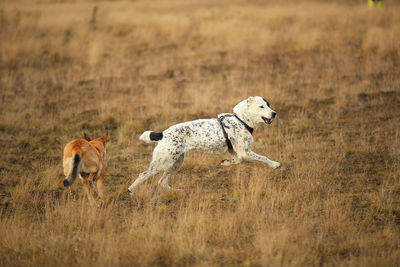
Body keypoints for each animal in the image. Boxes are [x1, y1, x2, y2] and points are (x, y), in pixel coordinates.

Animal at [129, 96, 282, 197]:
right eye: (261, 106)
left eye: (268, 104)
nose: (274, 113)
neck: (241, 120)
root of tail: (163, 134)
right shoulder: (245, 152)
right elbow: (264, 158)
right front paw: (275, 164)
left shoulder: (236, 152)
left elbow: (237, 161)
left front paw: (226, 163)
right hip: (162, 163)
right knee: (143, 175)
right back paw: (131, 191)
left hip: (176, 163)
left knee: (162, 182)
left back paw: (177, 192)